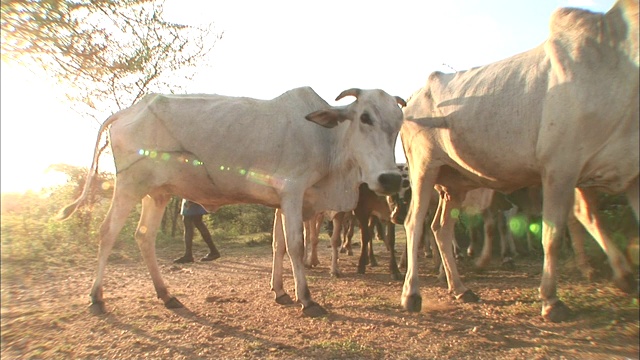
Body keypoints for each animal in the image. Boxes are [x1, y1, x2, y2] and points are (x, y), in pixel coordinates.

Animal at [56, 87, 404, 318]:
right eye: (365, 117)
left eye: (399, 123)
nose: (390, 179)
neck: (326, 139)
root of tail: (129, 111)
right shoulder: (292, 192)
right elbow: (295, 245)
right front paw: (306, 299)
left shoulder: (281, 201)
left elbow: (277, 245)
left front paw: (279, 291)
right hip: (129, 185)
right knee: (108, 233)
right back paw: (96, 297)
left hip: (158, 193)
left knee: (143, 236)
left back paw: (167, 295)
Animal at [402, 0, 636, 322]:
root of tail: (410, 101)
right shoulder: (559, 167)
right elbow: (553, 233)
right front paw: (551, 300)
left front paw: (624, 276)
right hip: (424, 169)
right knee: (414, 223)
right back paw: (412, 294)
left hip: (455, 183)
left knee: (442, 227)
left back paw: (460, 288)